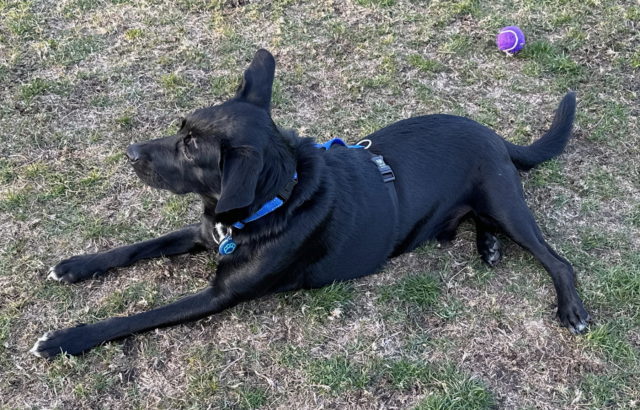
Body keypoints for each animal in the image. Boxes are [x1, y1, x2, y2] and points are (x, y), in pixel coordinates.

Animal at [30, 48, 592, 358]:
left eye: (191, 148)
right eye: (180, 128)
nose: (129, 153)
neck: (272, 204)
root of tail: (495, 136)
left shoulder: (218, 296)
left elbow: (136, 318)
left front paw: (65, 340)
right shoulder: (203, 232)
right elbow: (136, 246)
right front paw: (76, 265)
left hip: (507, 202)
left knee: (557, 260)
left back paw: (569, 306)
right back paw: (487, 247)